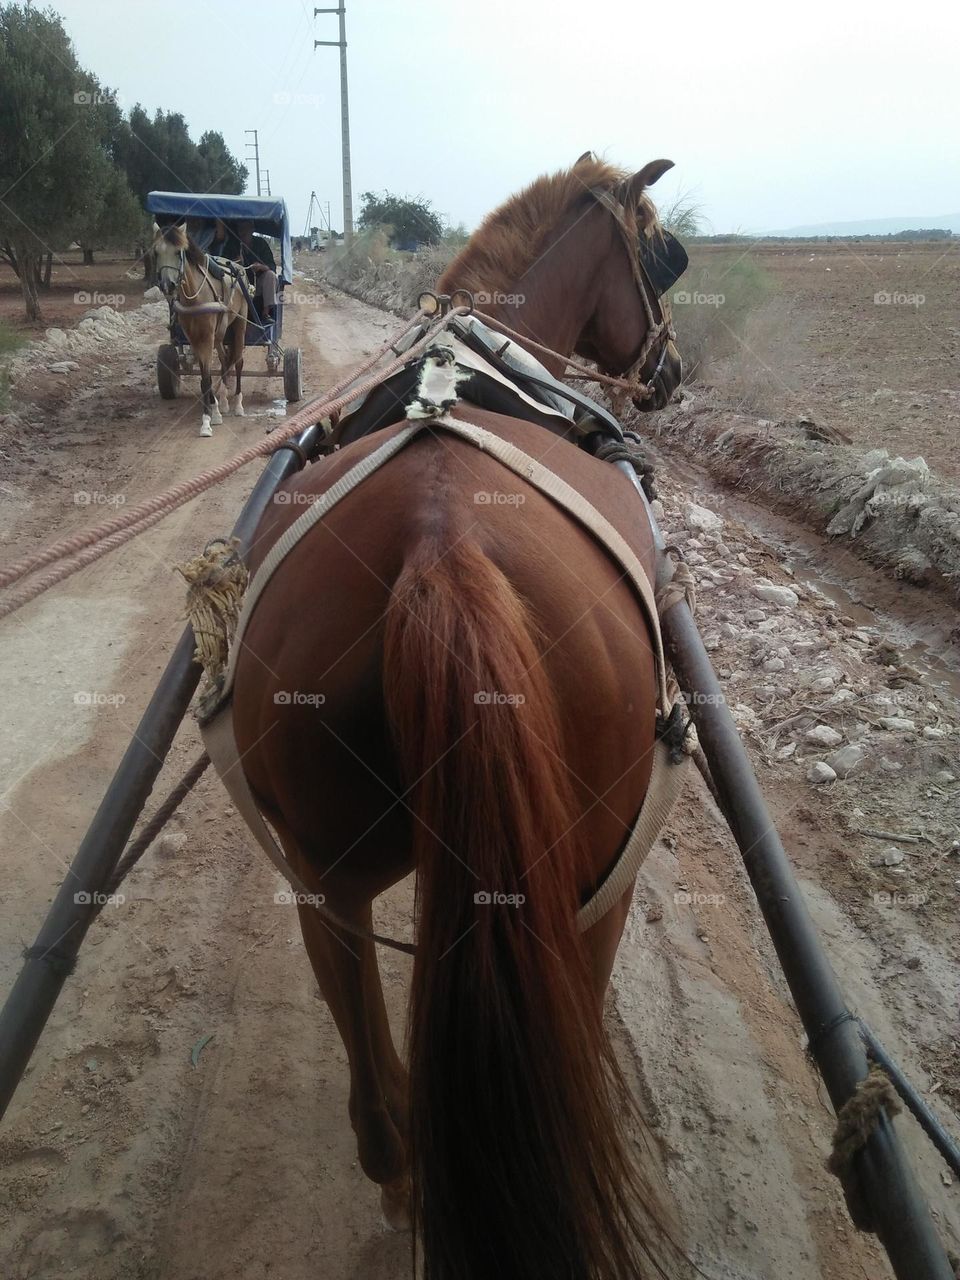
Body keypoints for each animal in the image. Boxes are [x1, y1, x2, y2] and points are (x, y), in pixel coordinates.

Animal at [151, 220, 248, 435]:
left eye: (178, 252)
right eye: (156, 252)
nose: (167, 285)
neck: (195, 297)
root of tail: (238, 266)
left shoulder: (206, 337)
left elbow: (205, 379)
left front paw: (206, 421)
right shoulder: (195, 338)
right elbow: (207, 377)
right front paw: (214, 411)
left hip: (240, 323)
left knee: (238, 360)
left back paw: (238, 404)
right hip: (220, 333)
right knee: (225, 360)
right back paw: (224, 401)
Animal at [231, 160, 686, 1280]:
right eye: (664, 256)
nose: (671, 372)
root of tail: (442, 547)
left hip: (323, 876)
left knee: (381, 1114)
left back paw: (404, 1183)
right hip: (595, 888)